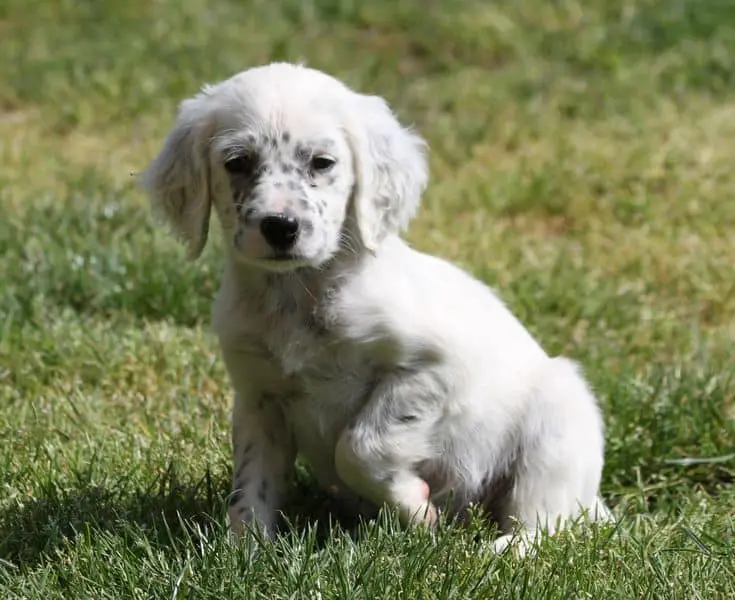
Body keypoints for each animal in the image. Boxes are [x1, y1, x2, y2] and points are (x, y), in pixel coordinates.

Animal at [142, 62, 611, 554]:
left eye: (322, 162)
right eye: (237, 162)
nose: (281, 227)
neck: (300, 294)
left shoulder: (431, 368)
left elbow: (360, 447)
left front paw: (416, 507)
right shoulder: (258, 396)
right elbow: (252, 484)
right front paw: (246, 551)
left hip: (558, 422)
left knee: (546, 522)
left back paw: (498, 552)